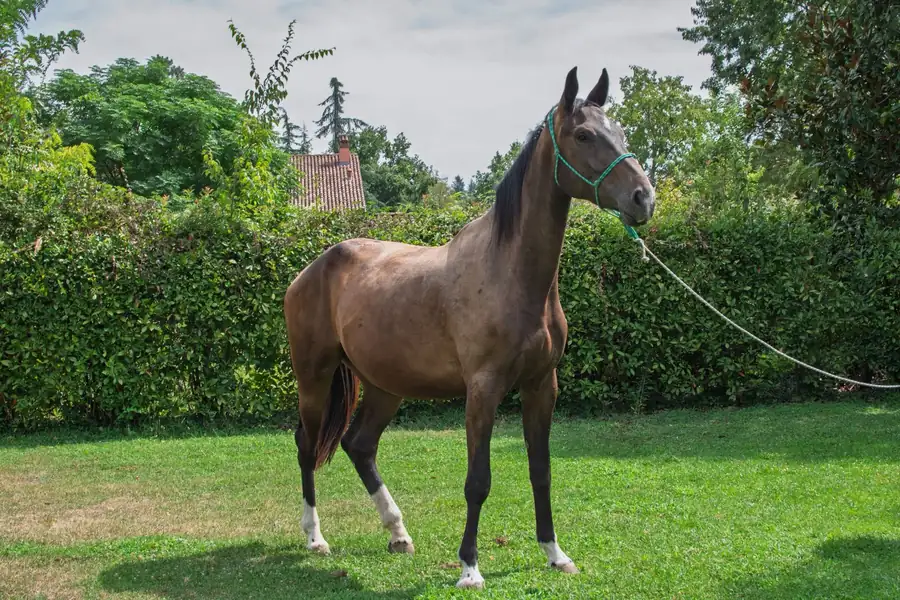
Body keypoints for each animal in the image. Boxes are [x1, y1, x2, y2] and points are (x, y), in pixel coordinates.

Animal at [283, 66, 656, 590]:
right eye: (583, 135)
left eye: (618, 131)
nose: (644, 198)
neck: (511, 273)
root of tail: (310, 270)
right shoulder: (483, 390)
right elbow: (478, 480)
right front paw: (469, 567)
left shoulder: (542, 386)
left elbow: (541, 471)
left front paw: (554, 553)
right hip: (314, 378)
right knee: (307, 445)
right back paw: (315, 537)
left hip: (385, 385)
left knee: (360, 446)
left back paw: (398, 533)